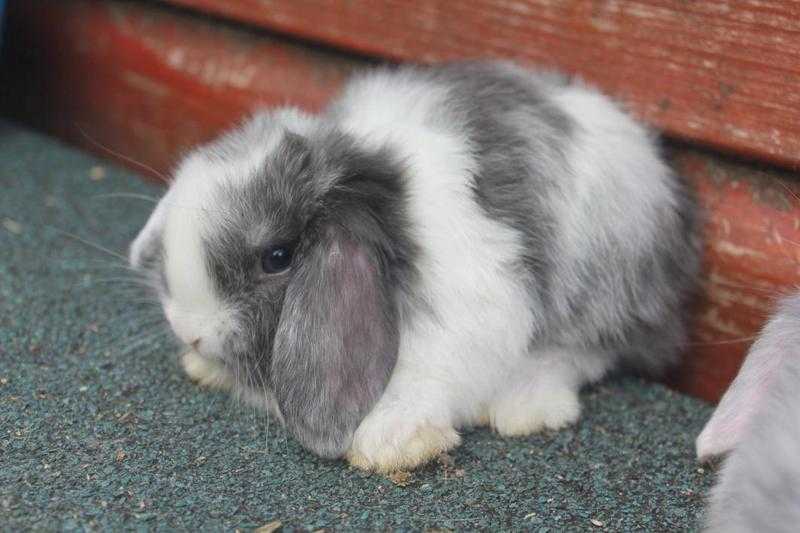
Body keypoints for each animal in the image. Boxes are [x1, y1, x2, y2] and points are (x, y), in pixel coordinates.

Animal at [128, 60, 696, 472]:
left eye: (277, 257)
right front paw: (202, 366)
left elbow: (428, 379)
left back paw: (526, 406)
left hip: (602, 287)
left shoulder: (471, 319)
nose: (190, 332)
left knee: (590, 351)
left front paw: (390, 442)